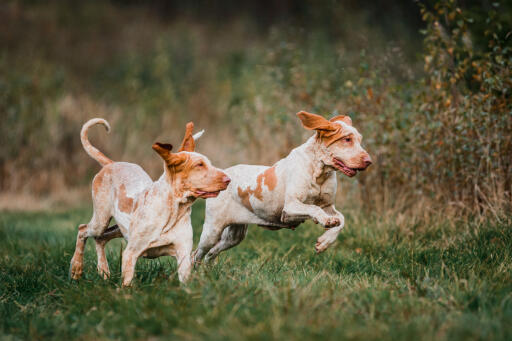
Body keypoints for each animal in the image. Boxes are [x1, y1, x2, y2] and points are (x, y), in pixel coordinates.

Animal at [70, 117, 230, 284]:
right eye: (199, 165)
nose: (228, 180)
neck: (173, 210)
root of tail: (111, 164)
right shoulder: (130, 254)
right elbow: (127, 284)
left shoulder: (184, 256)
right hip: (101, 220)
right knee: (83, 229)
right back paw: (76, 269)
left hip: (121, 228)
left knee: (101, 238)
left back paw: (103, 271)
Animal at [194, 110, 370, 262]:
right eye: (347, 139)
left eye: (360, 140)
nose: (369, 161)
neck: (319, 172)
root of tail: (223, 176)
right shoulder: (291, 207)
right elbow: (314, 208)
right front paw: (325, 221)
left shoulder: (328, 206)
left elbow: (341, 219)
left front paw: (325, 242)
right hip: (212, 231)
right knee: (196, 254)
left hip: (234, 236)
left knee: (210, 254)